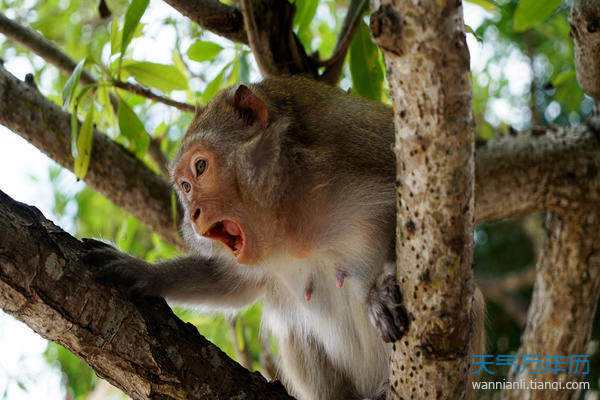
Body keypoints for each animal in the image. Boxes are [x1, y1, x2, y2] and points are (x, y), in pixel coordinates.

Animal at [84, 76, 486, 400]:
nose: (193, 213)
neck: (292, 218)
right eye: (184, 187)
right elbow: (232, 283)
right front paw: (143, 273)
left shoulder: (363, 150)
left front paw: (384, 288)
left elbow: (432, 224)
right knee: (295, 331)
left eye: (200, 167)